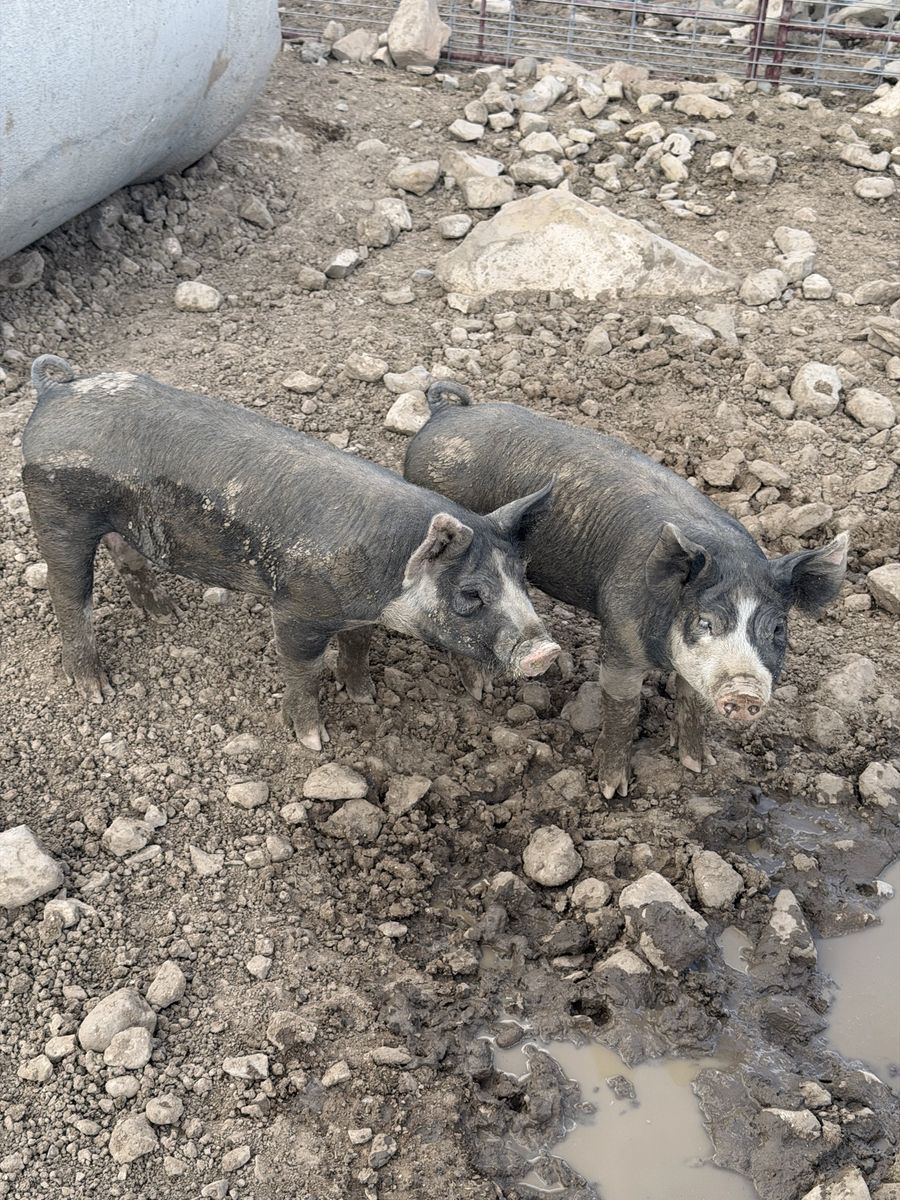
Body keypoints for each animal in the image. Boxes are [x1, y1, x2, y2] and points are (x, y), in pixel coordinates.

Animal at [21, 357, 559, 749]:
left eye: (523, 578)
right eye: (470, 593)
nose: (547, 651)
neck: (386, 583)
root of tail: (56, 391)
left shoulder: (357, 610)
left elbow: (359, 646)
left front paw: (365, 697)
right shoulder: (298, 606)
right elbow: (303, 669)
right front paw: (314, 742)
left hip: (119, 518)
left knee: (125, 555)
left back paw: (166, 615)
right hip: (57, 509)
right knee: (69, 593)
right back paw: (96, 690)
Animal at [405, 383, 849, 798]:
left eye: (777, 630)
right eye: (705, 622)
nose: (742, 691)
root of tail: (444, 414)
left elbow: (691, 700)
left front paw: (698, 764)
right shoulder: (620, 632)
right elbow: (624, 707)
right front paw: (610, 790)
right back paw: (482, 691)